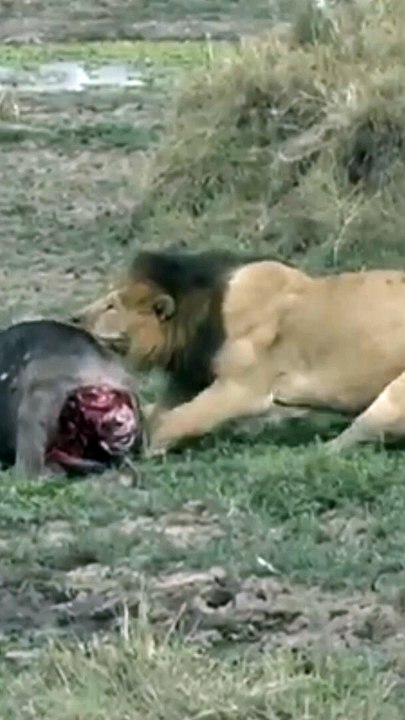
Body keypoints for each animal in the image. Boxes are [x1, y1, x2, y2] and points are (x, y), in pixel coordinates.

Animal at [71, 248, 405, 456]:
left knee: (357, 433)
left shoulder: (242, 388)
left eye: (111, 306)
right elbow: (157, 410)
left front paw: (147, 448)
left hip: (393, 398)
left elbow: (177, 420)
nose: (74, 318)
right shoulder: (190, 377)